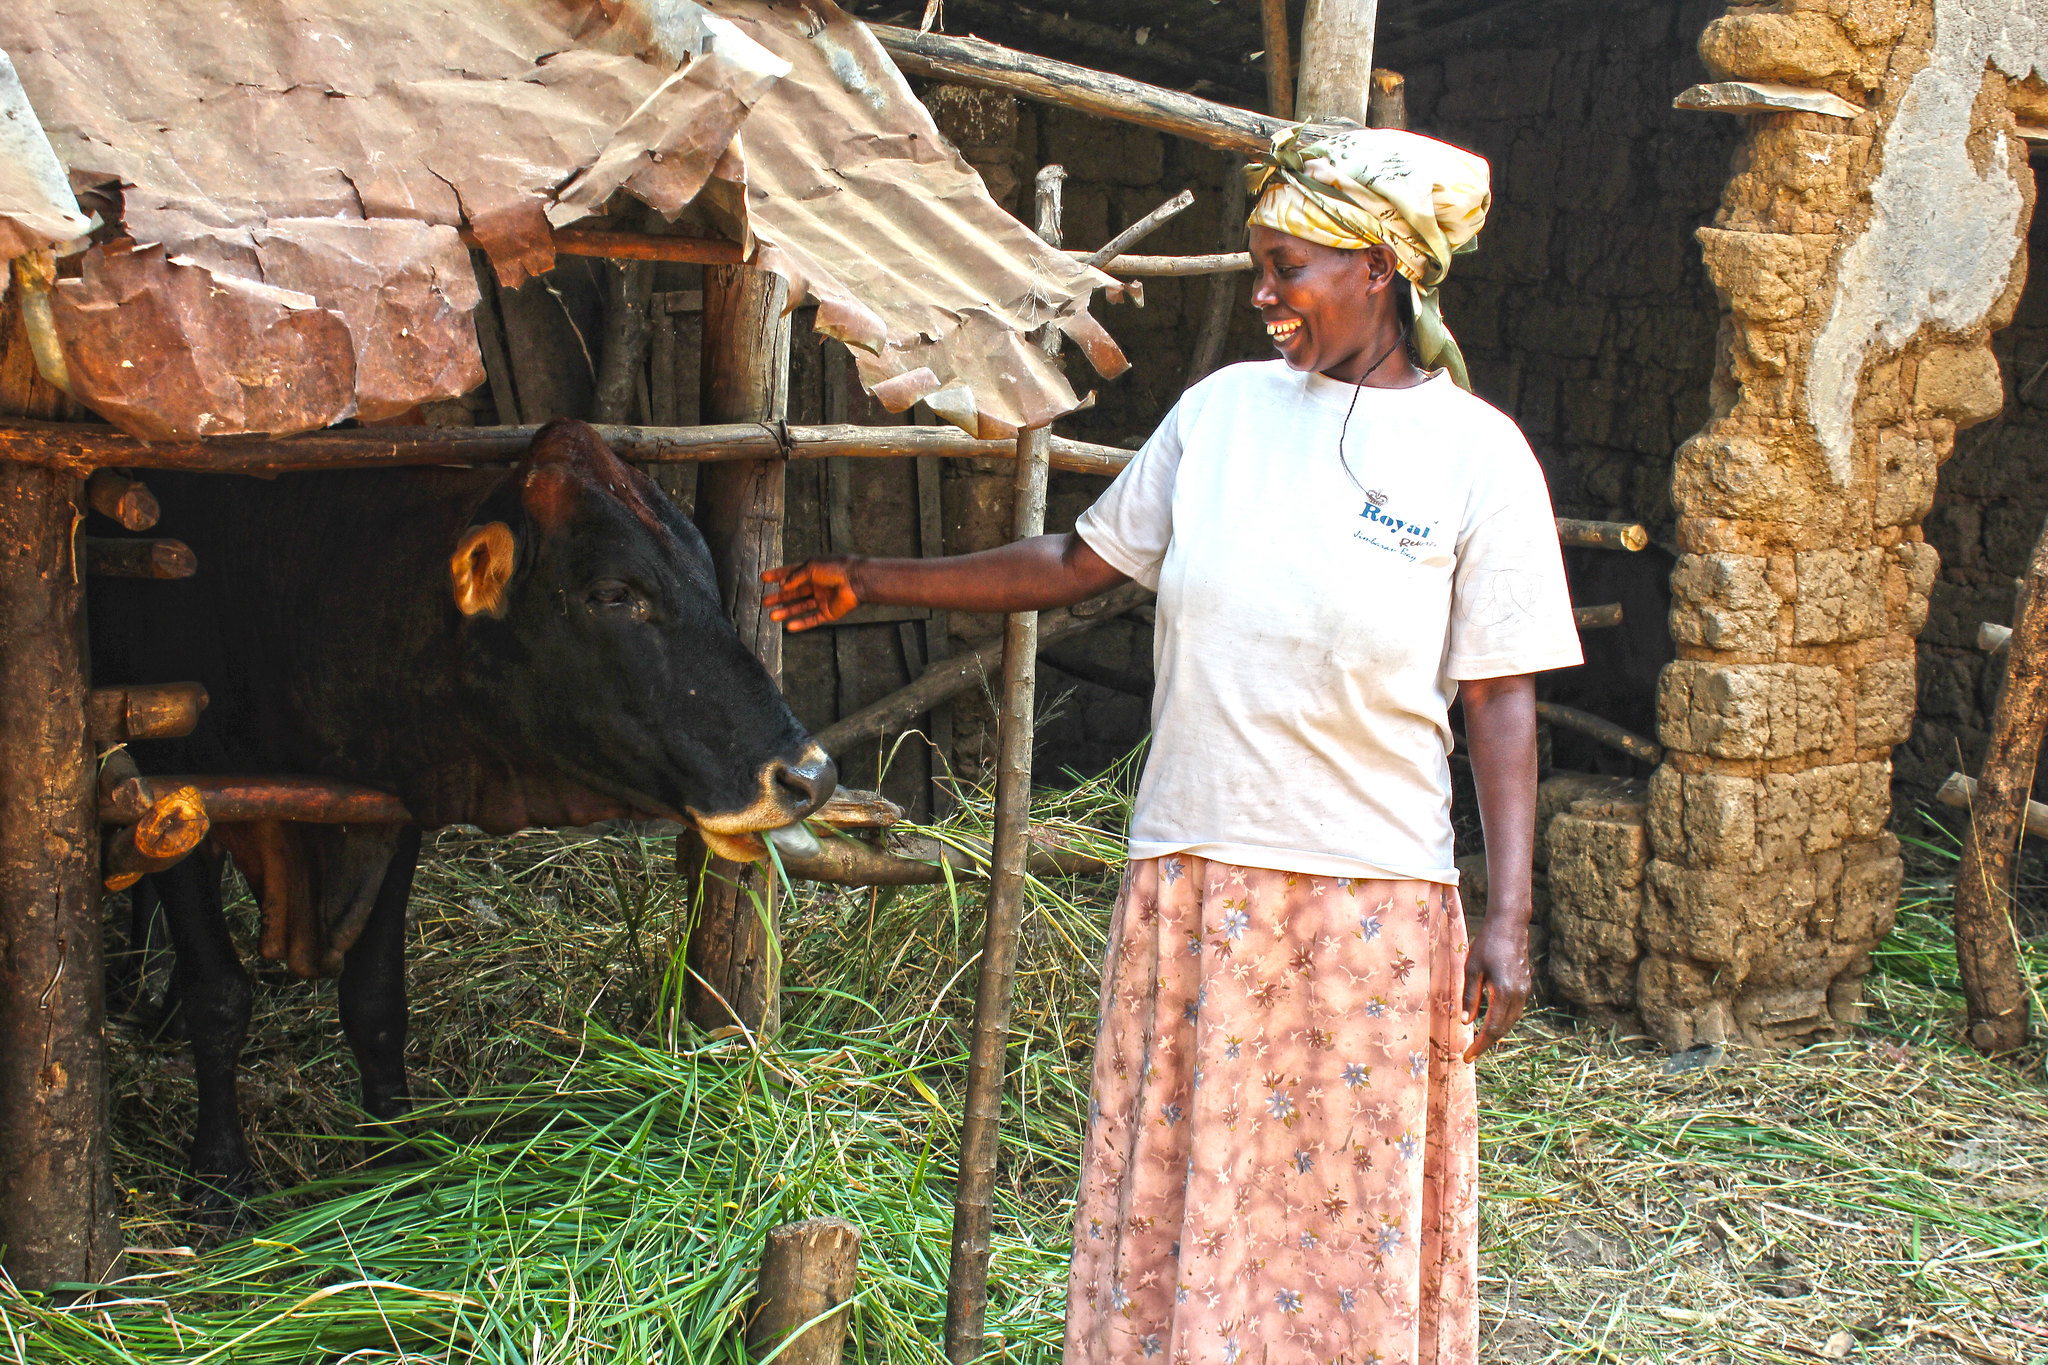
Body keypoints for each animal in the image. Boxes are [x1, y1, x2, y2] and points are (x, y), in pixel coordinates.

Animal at [94, 419, 831, 1195]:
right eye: (610, 592)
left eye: (707, 574)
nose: (810, 774)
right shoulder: (173, 786)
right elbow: (219, 991)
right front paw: (220, 1172)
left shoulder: (390, 810)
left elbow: (375, 998)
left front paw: (396, 1152)